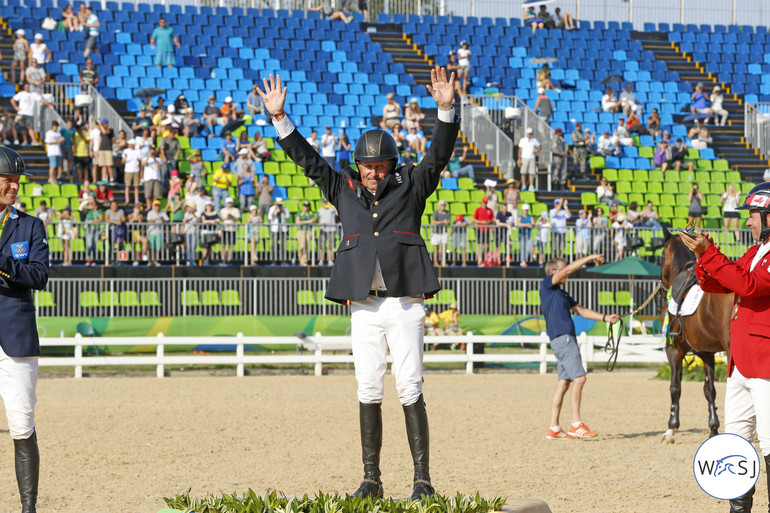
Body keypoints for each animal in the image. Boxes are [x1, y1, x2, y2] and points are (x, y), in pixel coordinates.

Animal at [656, 226, 728, 442]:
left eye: (660, 256)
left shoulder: (673, 350)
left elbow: (675, 387)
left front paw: (671, 428)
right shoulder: (707, 353)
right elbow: (709, 389)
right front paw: (713, 427)